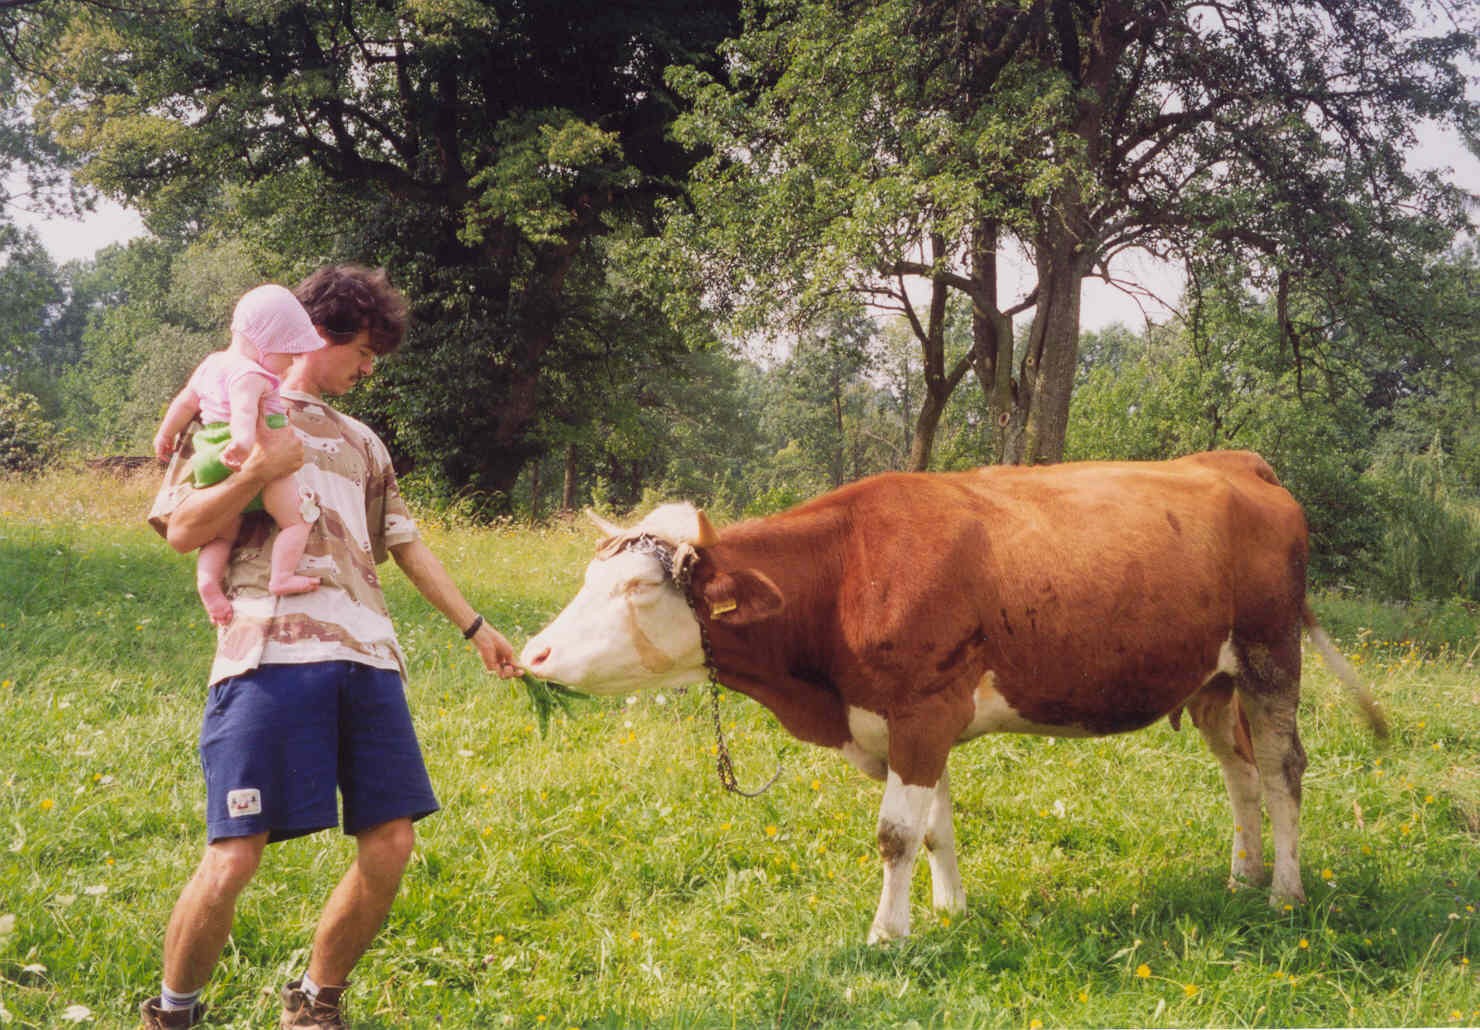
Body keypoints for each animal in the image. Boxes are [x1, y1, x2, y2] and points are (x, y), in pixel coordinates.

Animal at [520, 449, 1385, 941]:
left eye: (637, 586)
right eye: (590, 575)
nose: (533, 652)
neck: (846, 575)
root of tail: (1238, 462)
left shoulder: (922, 711)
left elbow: (896, 834)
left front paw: (888, 935)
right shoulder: (914, 724)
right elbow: (934, 828)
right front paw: (948, 913)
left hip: (1271, 655)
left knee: (1280, 768)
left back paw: (1283, 892)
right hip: (1212, 679)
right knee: (1239, 772)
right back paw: (1242, 876)